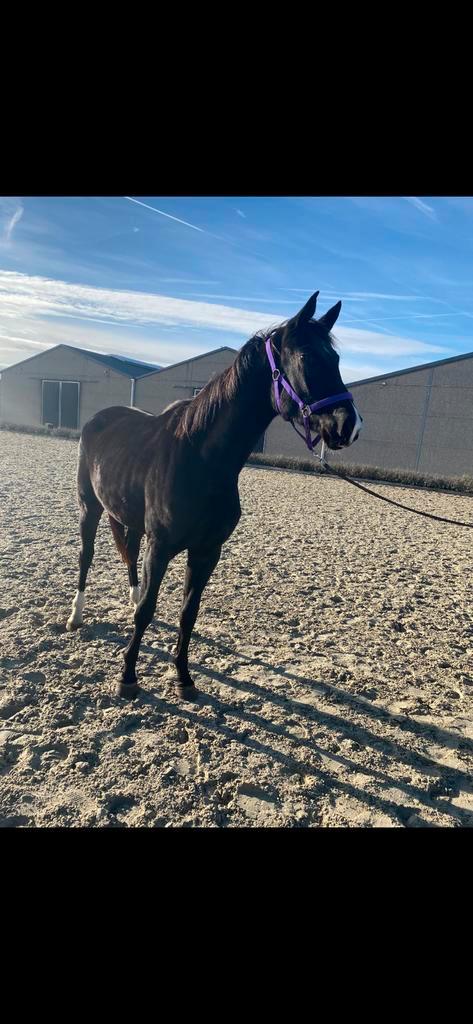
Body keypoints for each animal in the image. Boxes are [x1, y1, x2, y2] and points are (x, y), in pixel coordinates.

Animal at [66, 292, 362, 700]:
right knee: (86, 557)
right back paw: (75, 616)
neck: (201, 459)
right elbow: (148, 610)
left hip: (129, 518)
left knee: (129, 556)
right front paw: (127, 677)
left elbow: (187, 613)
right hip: (89, 507)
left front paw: (183, 677)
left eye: (335, 360)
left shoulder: (207, 551)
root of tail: (99, 418)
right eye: (306, 358)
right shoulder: (161, 546)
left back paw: (128, 597)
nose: (349, 426)